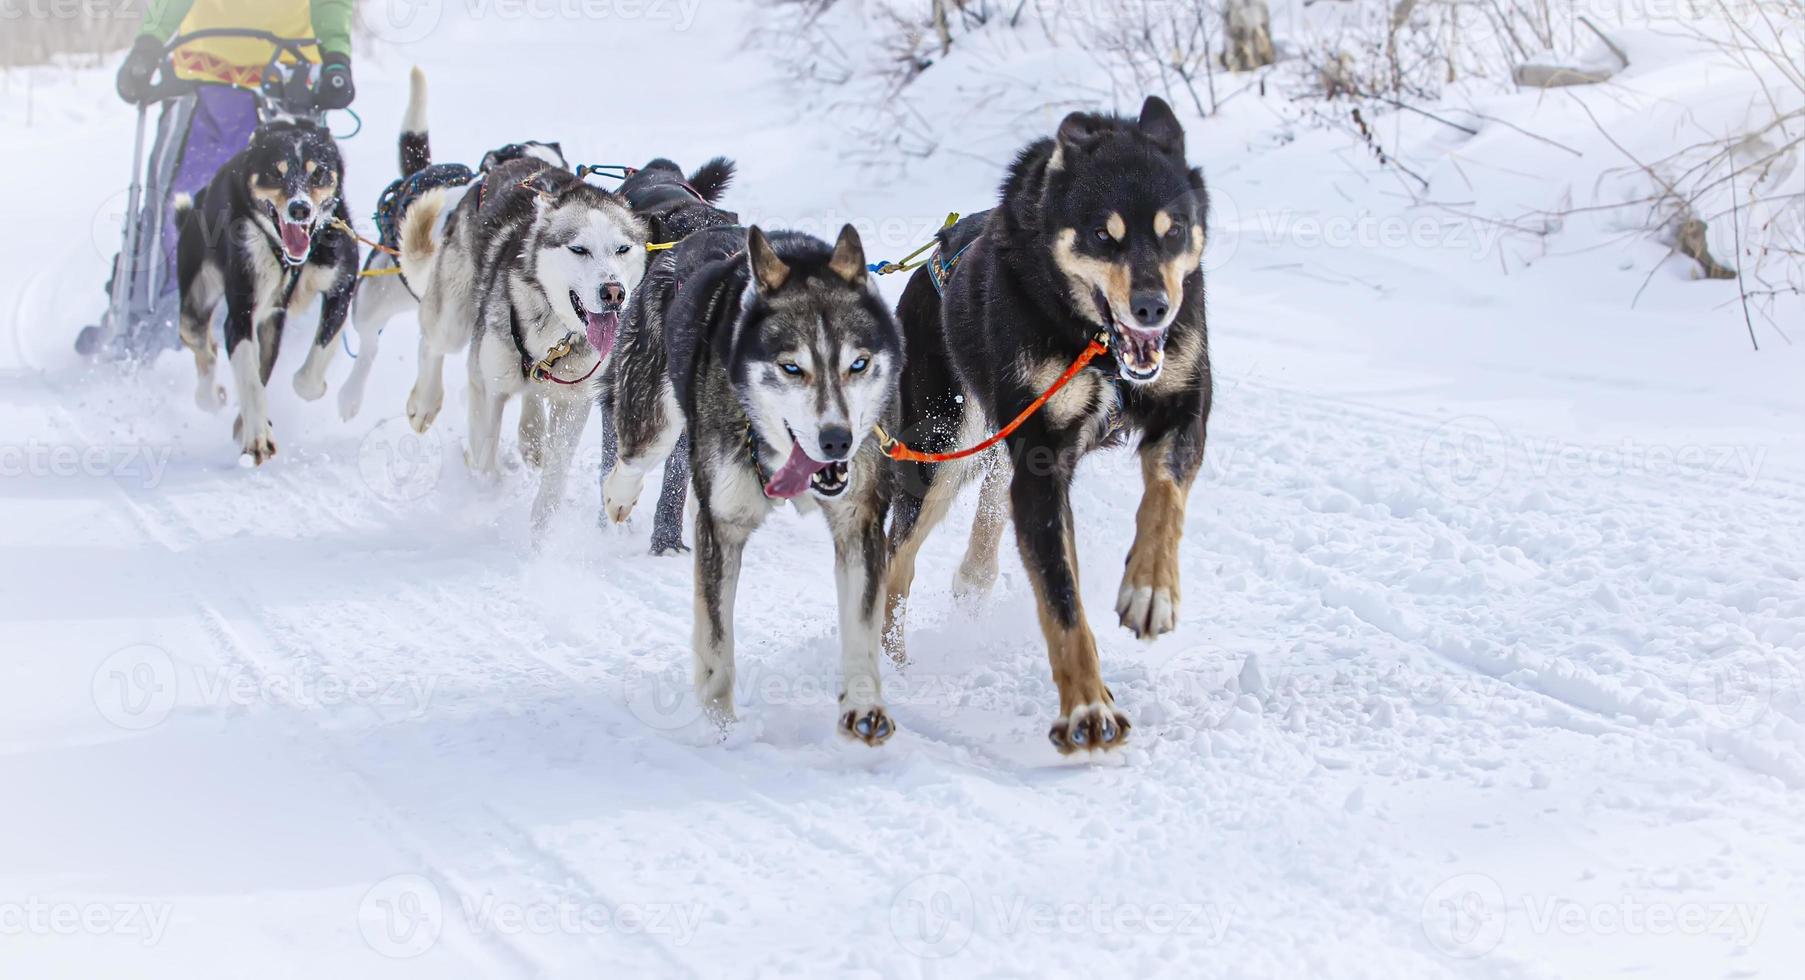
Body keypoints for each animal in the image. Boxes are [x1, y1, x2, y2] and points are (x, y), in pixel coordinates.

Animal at [174, 117, 357, 465]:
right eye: (276, 172)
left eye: (318, 172)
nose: (300, 209)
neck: (289, 259)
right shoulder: (242, 316)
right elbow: (250, 382)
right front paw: (257, 438)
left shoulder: (342, 285)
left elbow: (308, 374)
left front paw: (314, 387)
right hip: (196, 303)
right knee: (203, 344)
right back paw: (212, 396)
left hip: (272, 323)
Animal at [400, 156, 649, 534]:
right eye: (579, 249)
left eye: (622, 248)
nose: (614, 292)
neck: (554, 332)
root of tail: (511, 162)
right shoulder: (490, 387)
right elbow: (484, 460)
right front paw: (485, 498)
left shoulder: (574, 402)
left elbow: (554, 481)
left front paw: (541, 533)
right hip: (454, 319)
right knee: (432, 342)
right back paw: (424, 403)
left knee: (531, 395)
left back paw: (531, 438)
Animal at [606, 221, 902, 743]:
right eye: (792, 368)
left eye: (858, 364)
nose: (837, 440)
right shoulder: (722, 526)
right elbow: (716, 645)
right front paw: (720, 730)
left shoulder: (860, 520)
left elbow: (862, 627)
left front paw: (864, 705)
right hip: (652, 425)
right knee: (632, 460)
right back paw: (618, 498)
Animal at [884, 95, 1212, 754]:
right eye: (1102, 234)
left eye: (1174, 230)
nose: (1153, 308)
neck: (1097, 344)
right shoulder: (1041, 466)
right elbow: (1062, 600)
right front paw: (1087, 709)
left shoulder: (1186, 408)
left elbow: (1164, 502)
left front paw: (1151, 591)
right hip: (940, 452)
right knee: (893, 559)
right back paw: (890, 659)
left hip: (986, 450)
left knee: (981, 530)